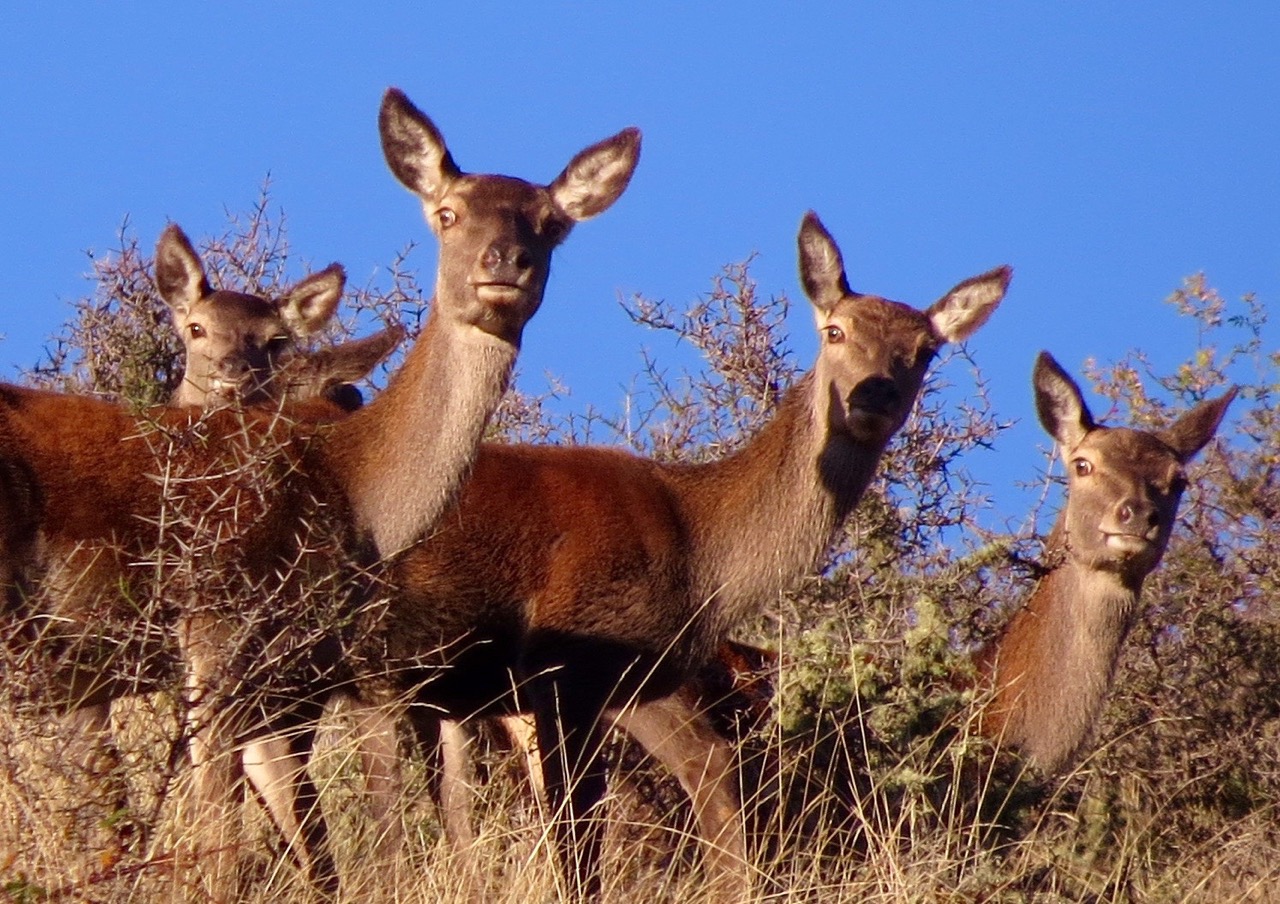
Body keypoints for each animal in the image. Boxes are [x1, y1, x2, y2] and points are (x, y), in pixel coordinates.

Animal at [0, 82, 640, 896]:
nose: (507, 262)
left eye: (553, 224)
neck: (355, 490)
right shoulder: (219, 632)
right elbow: (230, 832)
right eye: (446, 211)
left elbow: (310, 838)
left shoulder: (289, 677)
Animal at [345, 211, 1003, 896]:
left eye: (925, 351)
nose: (874, 396)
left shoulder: (637, 677)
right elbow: (578, 835)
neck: (696, 546)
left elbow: (706, 770)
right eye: (835, 329)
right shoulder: (571, 662)